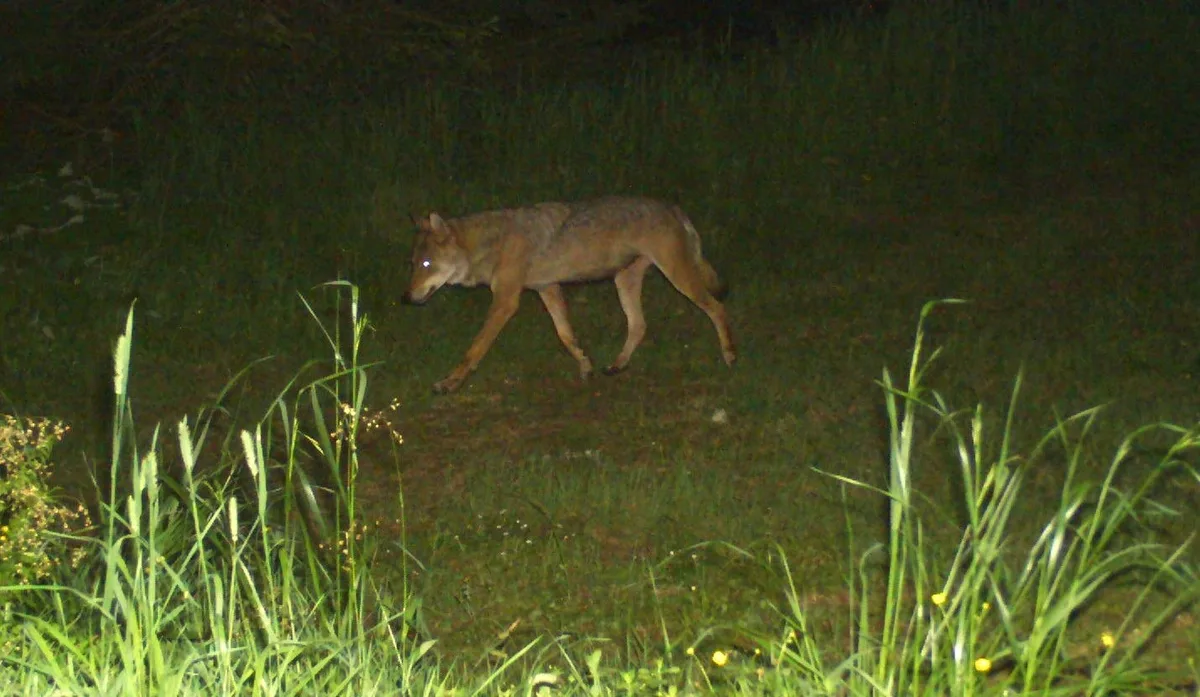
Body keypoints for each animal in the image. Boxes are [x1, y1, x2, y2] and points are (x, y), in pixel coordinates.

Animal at [403, 196, 736, 394]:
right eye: (413, 264)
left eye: (426, 264)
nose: (406, 298)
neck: (491, 243)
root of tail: (673, 208)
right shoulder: (547, 289)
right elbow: (566, 335)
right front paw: (585, 365)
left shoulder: (506, 301)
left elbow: (474, 349)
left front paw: (450, 382)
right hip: (624, 282)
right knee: (639, 325)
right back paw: (617, 365)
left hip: (679, 278)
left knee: (717, 307)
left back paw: (730, 355)